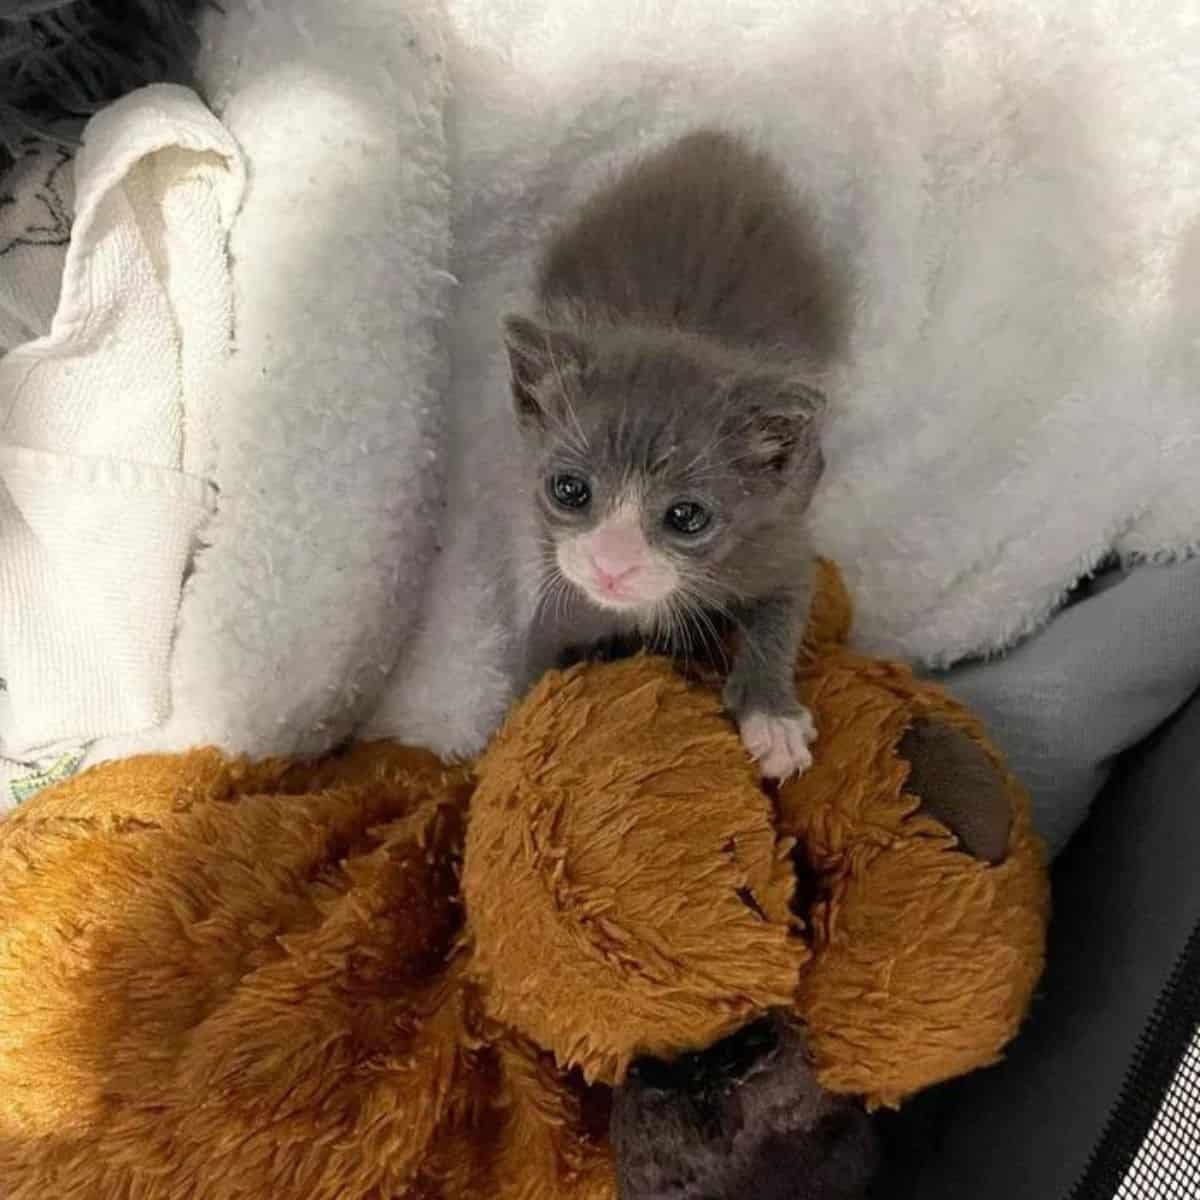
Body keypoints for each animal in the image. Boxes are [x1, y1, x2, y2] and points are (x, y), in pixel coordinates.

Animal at [501, 129, 830, 777]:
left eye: (686, 516)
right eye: (569, 489)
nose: (612, 566)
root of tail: (712, 146)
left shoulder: (772, 538)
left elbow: (785, 607)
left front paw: (773, 717)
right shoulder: (565, 596)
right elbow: (535, 676)